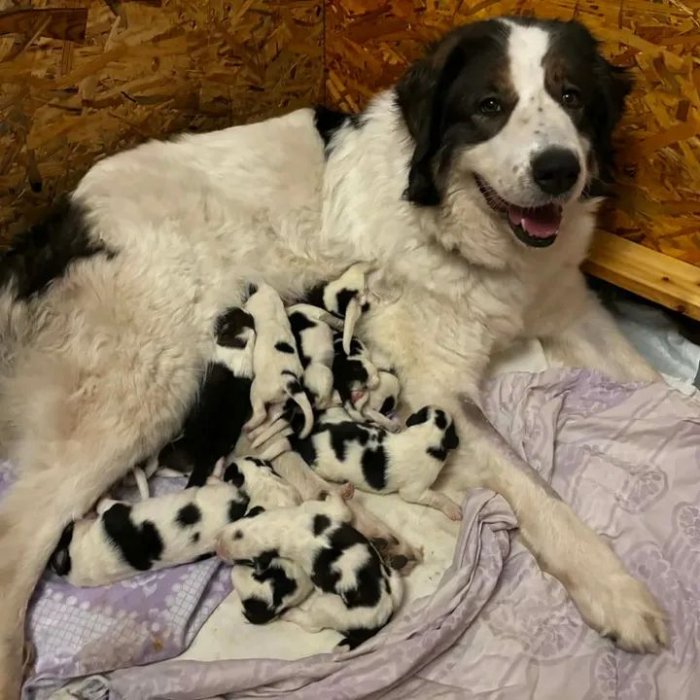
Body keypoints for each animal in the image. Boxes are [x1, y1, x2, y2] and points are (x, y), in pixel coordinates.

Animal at [48, 477, 249, 587]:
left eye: (66, 530)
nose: (71, 521)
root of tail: (240, 505)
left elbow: (102, 504)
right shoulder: (115, 511)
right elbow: (104, 504)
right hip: (217, 493)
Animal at [216, 495, 403, 648]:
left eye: (244, 561)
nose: (218, 548)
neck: (283, 528)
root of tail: (378, 624)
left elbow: (340, 505)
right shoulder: (329, 512)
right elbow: (343, 509)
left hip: (329, 606)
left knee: (312, 625)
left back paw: (291, 614)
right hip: (391, 582)